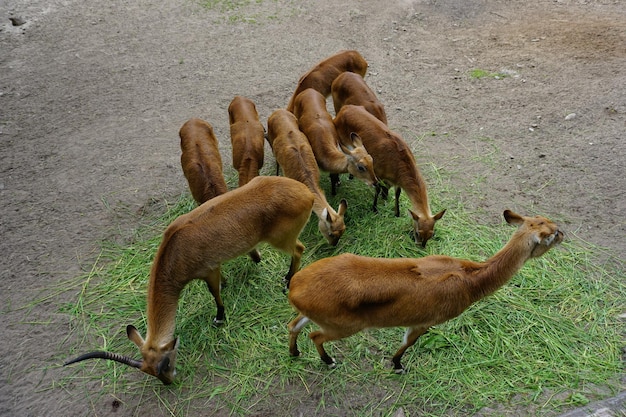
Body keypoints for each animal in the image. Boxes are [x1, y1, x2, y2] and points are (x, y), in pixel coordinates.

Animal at [64, 175, 312, 384]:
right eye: (148, 369)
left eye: (164, 364)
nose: (168, 382)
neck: (175, 251)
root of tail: (306, 193)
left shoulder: (209, 270)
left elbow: (215, 293)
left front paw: (219, 318)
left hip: (281, 241)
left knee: (299, 250)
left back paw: (287, 280)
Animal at [286, 210, 560, 372]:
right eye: (553, 233)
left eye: (549, 222)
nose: (563, 233)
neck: (470, 280)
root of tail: (295, 288)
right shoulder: (425, 322)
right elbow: (407, 343)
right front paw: (397, 365)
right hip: (343, 327)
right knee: (314, 336)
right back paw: (329, 360)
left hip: (314, 316)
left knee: (293, 325)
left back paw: (294, 352)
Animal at [332, 104, 444, 247]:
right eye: (418, 232)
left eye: (432, 234)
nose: (421, 246)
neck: (396, 164)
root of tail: (344, 108)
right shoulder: (377, 173)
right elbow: (378, 188)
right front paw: (375, 208)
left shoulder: (396, 181)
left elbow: (397, 194)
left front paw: (396, 212)